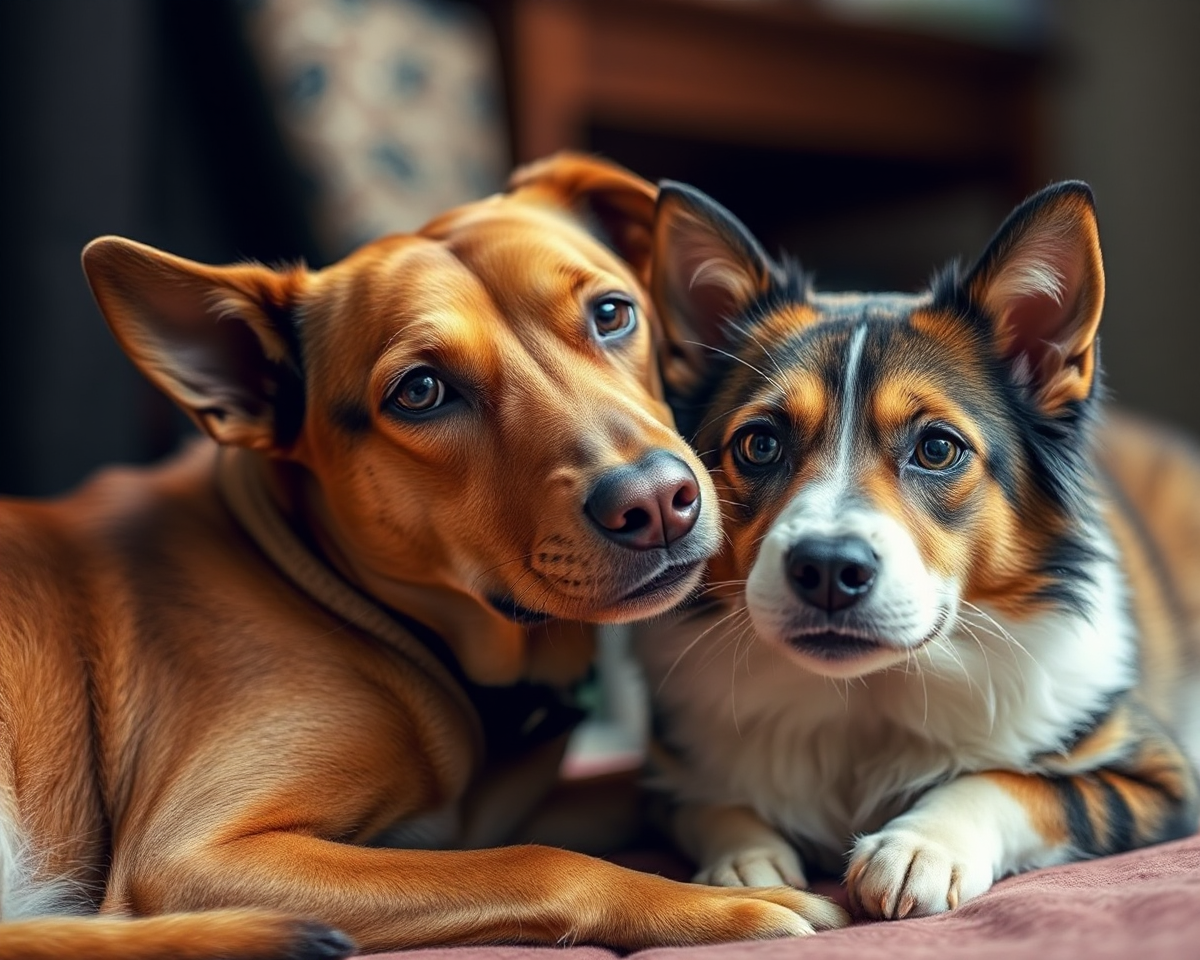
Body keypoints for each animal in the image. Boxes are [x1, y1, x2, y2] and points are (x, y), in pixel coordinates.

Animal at [0, 157, 844, 960]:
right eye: (421, 391)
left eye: (612, 313)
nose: (659, 502)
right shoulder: (190, 855)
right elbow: (540, 862)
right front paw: (727, 905)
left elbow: (648, 786)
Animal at [638, 176, 1200, 916]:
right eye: (759, 444)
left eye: (936, 448)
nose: (826, 569)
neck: (866, 697)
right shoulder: (665, 777)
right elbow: (708, 804)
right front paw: (746, 862)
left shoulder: (1160, 779)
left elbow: (1025, 784)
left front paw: (919, 846)